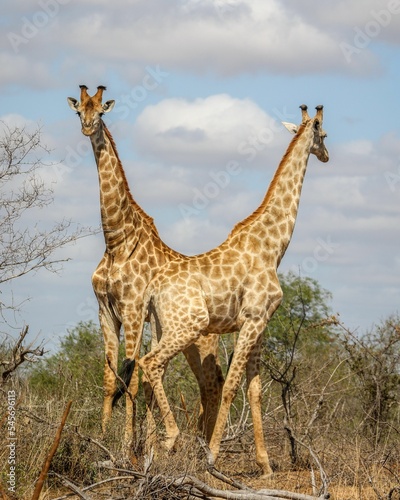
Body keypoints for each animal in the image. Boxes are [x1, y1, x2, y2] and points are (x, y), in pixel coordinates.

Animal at [65, 86, 222, 450]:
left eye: (101, 112)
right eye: (79, 111)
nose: (88, 127)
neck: (116, 241)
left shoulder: (133, 309)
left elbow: (132, 380)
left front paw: (126, 446)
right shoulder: (105, 311)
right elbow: (111, 379)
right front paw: (103, 439)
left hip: (201, 341)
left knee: (210, 387)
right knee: (189, 382)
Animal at [136, 103, 330, 474]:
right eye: (324, 134)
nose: (327, 155)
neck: (273, 247)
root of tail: (151, 290)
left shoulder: (260, 323)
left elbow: (255, 390)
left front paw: (265, 464)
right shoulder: (252, 318)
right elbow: (230, 386)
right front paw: (211, 456)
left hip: (161, 326)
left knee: (153, 368)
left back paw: (150, 452)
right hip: (189, 325)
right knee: (150, 364)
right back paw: (171, 439)